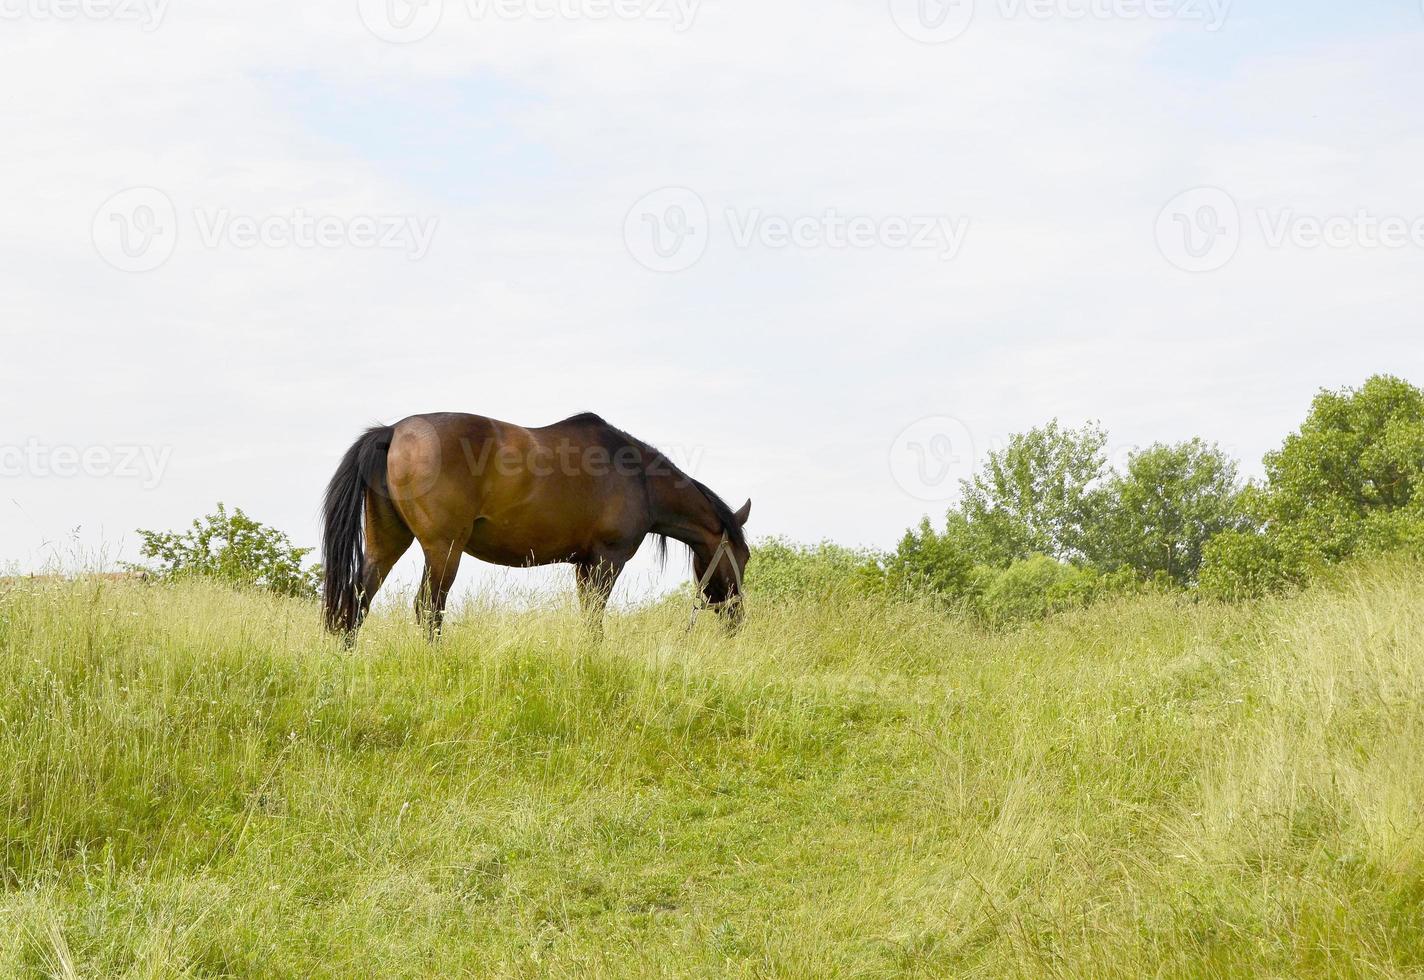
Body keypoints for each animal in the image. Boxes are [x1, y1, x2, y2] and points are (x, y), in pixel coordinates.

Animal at [318, 410, 751, 635]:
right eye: (742, 557)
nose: (736, 616)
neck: (639, 478)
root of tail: (392, 432)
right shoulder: (607, 561)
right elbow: (595, 619)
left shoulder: (584, 565)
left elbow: (587, 617)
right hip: (444, 550)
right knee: (428, 608)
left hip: (387, 542)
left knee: (358, 598)